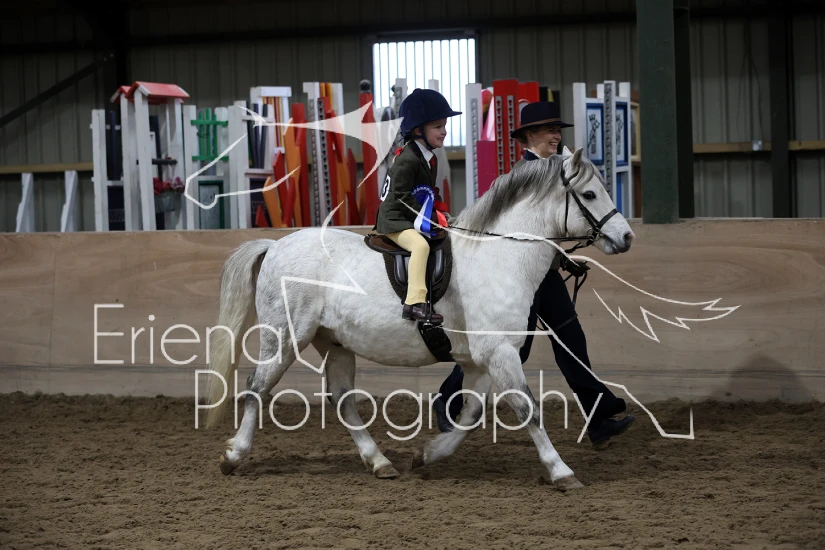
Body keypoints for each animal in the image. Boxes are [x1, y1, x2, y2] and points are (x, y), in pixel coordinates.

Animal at [203, 147, 634, 490]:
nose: (627, 237)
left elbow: (471, 414)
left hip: (335, 343)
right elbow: (528, 409)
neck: (499, 256)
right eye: (590, 194)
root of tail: (275, 245)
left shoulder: (480, 360)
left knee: (342, 400)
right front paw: (561, 472)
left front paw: (427, 454)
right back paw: (233, 456)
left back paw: (380, 462)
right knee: (257, 388)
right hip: (285, 336)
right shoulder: (500, 353)